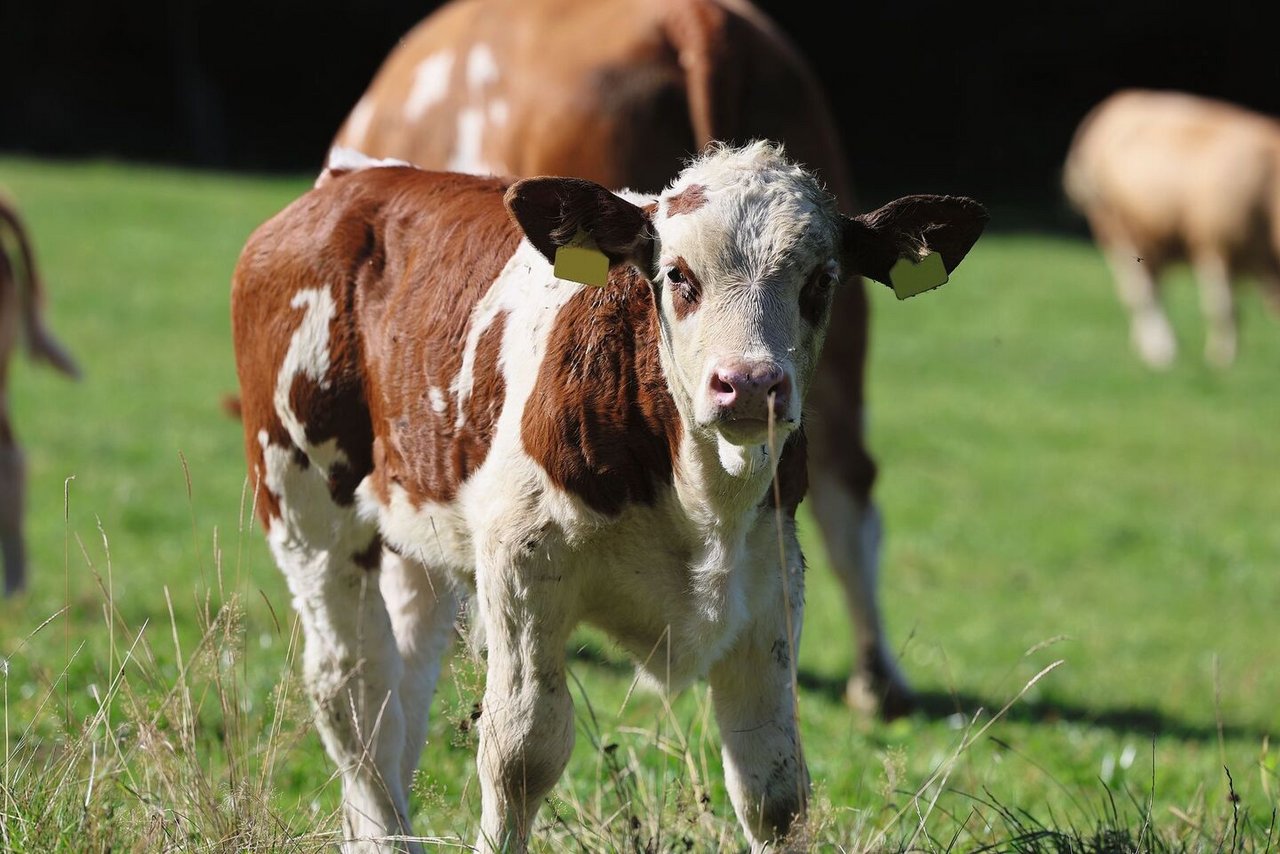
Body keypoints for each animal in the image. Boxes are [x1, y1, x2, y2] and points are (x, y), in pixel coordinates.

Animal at [232, 143, 988, 850]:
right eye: (678, 275)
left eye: (821, 281)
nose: (748, 384)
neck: (701, 498)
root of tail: (352, 177)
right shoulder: (522, 566)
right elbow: (521, 754)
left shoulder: (771, 582)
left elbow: (773, 787)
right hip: (306, 508)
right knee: (351, 690)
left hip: (416, 528)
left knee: (401, 685)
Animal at [1064, 90, 1280, 371]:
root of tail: (1117, 102)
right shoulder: (1213, 245)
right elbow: (1224, 309)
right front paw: (1223, 359)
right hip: (1114, 227)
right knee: (1142, 293)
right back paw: (1161, 351)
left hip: (1150, 239)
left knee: (1146, 289)